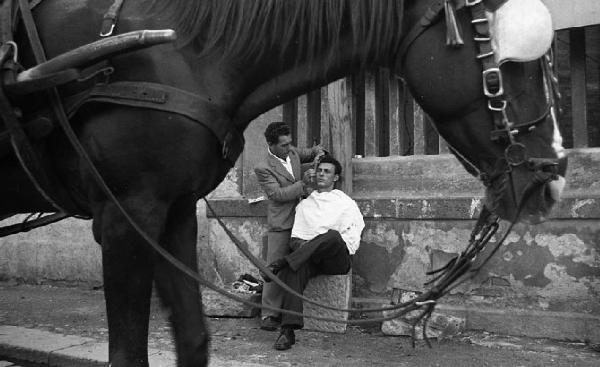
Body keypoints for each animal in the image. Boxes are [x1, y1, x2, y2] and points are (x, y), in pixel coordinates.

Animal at [0, 0, 568, 366]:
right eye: (509, 63)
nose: (552, 179)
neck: (185, 53)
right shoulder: (126, 214)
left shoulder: (172, 212)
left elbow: (194, 338)